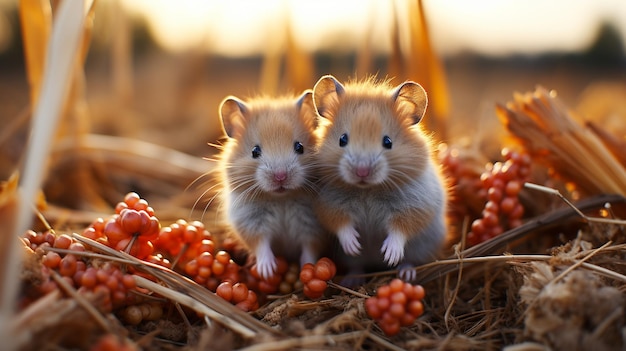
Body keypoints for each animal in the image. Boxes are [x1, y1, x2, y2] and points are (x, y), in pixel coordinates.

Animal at [216, 91, 324, 280]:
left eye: (300, 147)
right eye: (255, 151)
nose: (280, 176)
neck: (281, 199)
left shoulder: (312, 227)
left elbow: (310, 248)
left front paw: (307, 267)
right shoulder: (252, 223)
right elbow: (262, 244)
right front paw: (267, 271)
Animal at [310, 75, 446, 284]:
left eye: (388, 142)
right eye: (342, 139)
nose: (362, 172)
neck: (367, 190)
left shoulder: (416, 205)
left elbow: (401, 228)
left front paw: (389, 255)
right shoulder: (326, 203)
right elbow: (340, 223)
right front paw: (354, 245)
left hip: (422, 247)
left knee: (410, 260)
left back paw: (405, 273)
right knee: (356, 264)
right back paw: (352, 279)